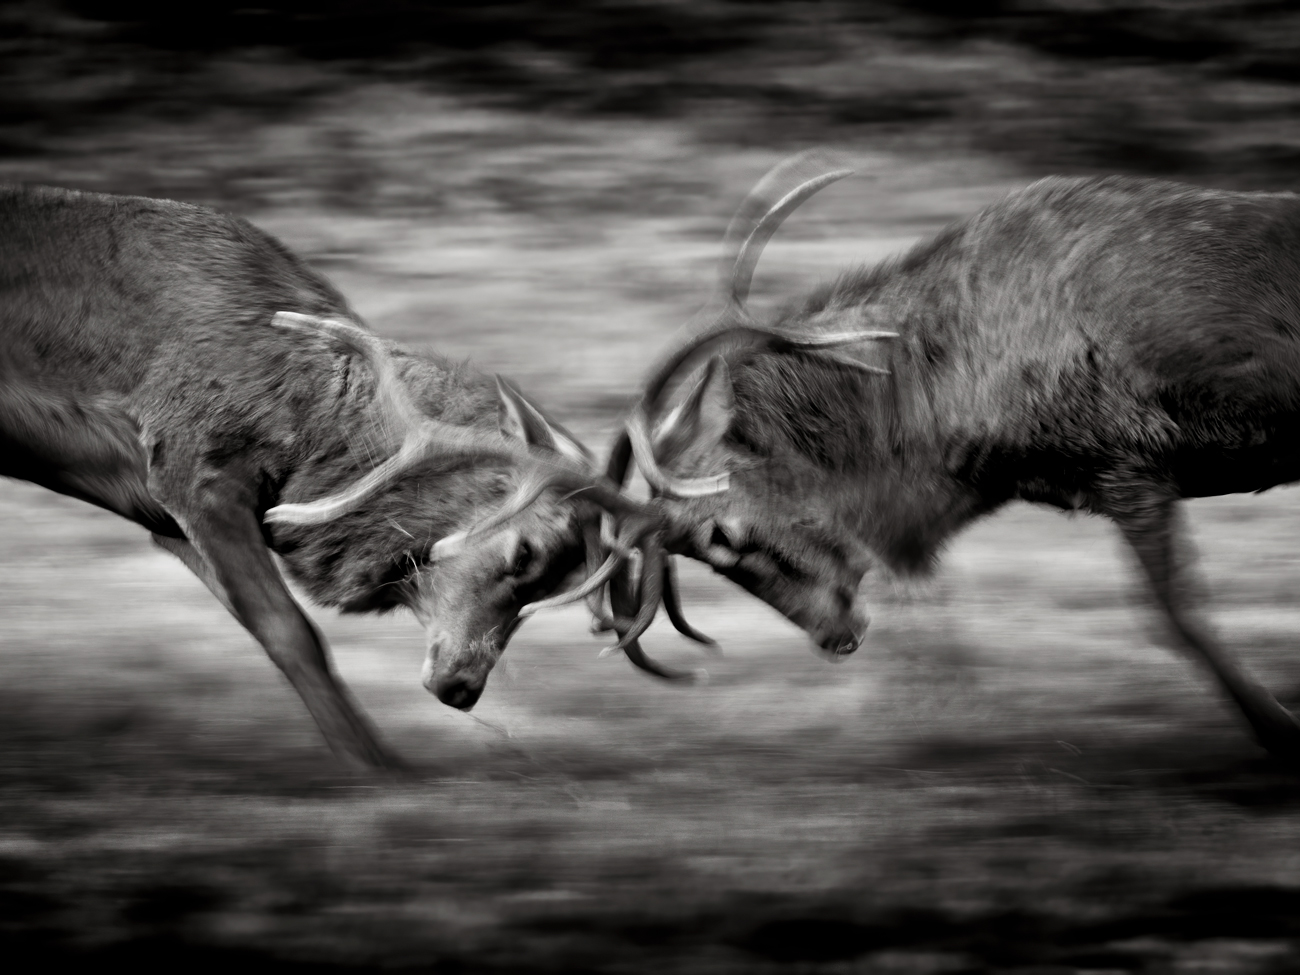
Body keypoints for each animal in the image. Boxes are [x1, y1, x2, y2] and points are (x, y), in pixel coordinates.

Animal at [0, 181, 704, 769]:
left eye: (563, 580)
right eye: (525, 550)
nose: (461, 688)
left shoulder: (161, 511)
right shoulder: (189, 463)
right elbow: (290, 632)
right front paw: (378, 766)